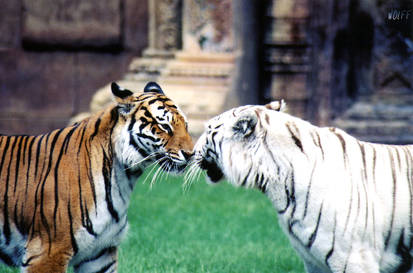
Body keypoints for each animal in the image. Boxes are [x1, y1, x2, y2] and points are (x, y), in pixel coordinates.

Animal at [0, 81, 192, 272]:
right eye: (165, 126)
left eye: (186, 126)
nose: (191, 154)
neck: (123, 178)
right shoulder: (48, 251)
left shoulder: (100, 252)